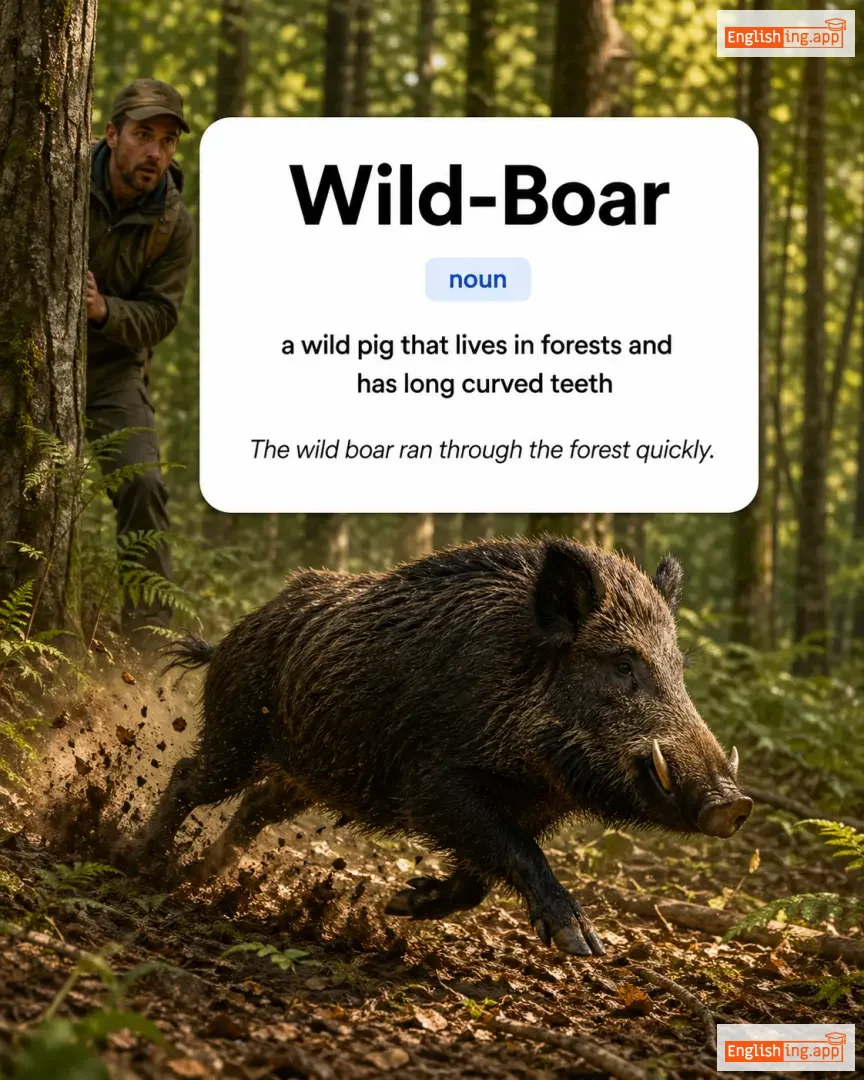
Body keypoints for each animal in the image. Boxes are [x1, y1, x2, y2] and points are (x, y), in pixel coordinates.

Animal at [140, 538, 751, 956]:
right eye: (623, 665)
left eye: (680, 669)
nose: (733, 803)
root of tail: (233, 634)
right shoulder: (433, 783)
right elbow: (515, 853)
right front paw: (583, 944)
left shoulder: (532, 808)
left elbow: (480, 877)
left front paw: (400, 902)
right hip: (236, 730)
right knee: (190, 775)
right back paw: (141, 860)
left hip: (307, 772)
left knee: (256, 806)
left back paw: (198, 877)